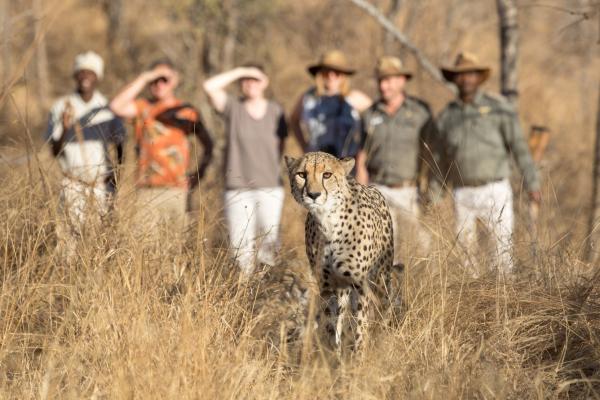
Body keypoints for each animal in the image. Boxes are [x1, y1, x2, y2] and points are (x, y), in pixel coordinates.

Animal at [284, 152, 396, 352]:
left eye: (327, 175)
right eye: (301, 174)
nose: (313, 195)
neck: (328, 221)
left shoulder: (361, 286)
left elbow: (360, 328)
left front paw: (359, 355)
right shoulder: (327, 286)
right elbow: (330, 325)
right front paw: (332, 354)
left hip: (380, 279)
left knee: (385, 307)